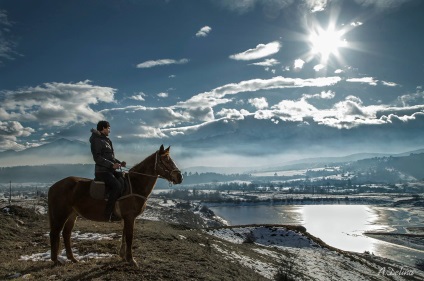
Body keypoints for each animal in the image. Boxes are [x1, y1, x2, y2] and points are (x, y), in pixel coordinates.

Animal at [47, 145, 182, 266]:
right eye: (165, 160)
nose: (179, 177)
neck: (135, 185)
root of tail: (53, 187)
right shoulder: (130, 217)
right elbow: (129, 236)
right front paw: (131, 260)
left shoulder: (127, 217)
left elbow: (124, 235)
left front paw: (123, 256)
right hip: (61, 214)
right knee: (55, 233)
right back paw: (56, 260)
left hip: (72, 214)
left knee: (66, 233)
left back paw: (73, 259)